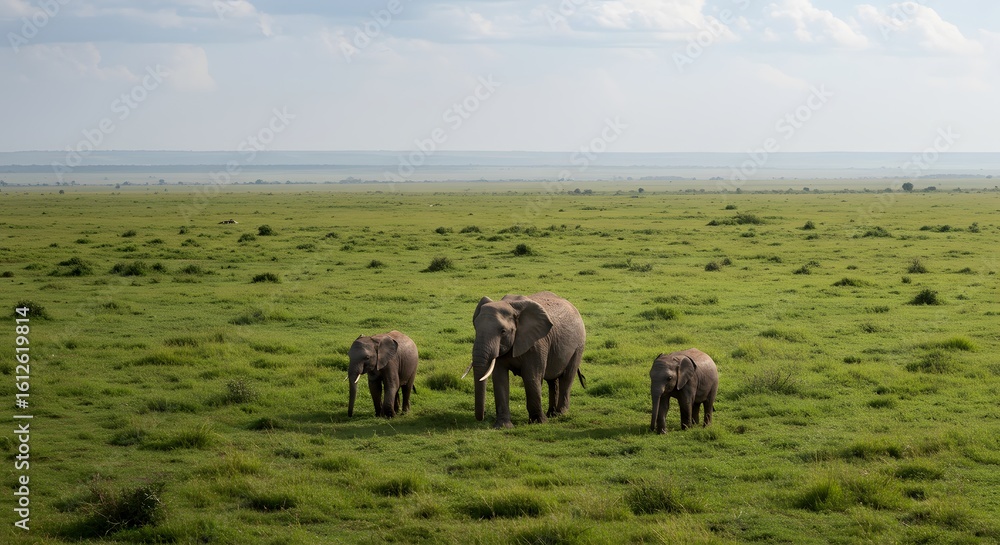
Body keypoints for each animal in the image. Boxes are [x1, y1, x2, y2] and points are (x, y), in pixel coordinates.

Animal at [464, 291, 586, 429]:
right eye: (475, 328)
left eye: (503, 331)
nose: (482, 417)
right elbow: (500, 378)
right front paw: (503, 426)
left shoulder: (536, 344)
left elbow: (531, 377)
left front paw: (539, 422)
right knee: (552, 380)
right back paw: (552, 414)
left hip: (579, 345)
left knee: (567, 376)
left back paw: (560, 414)